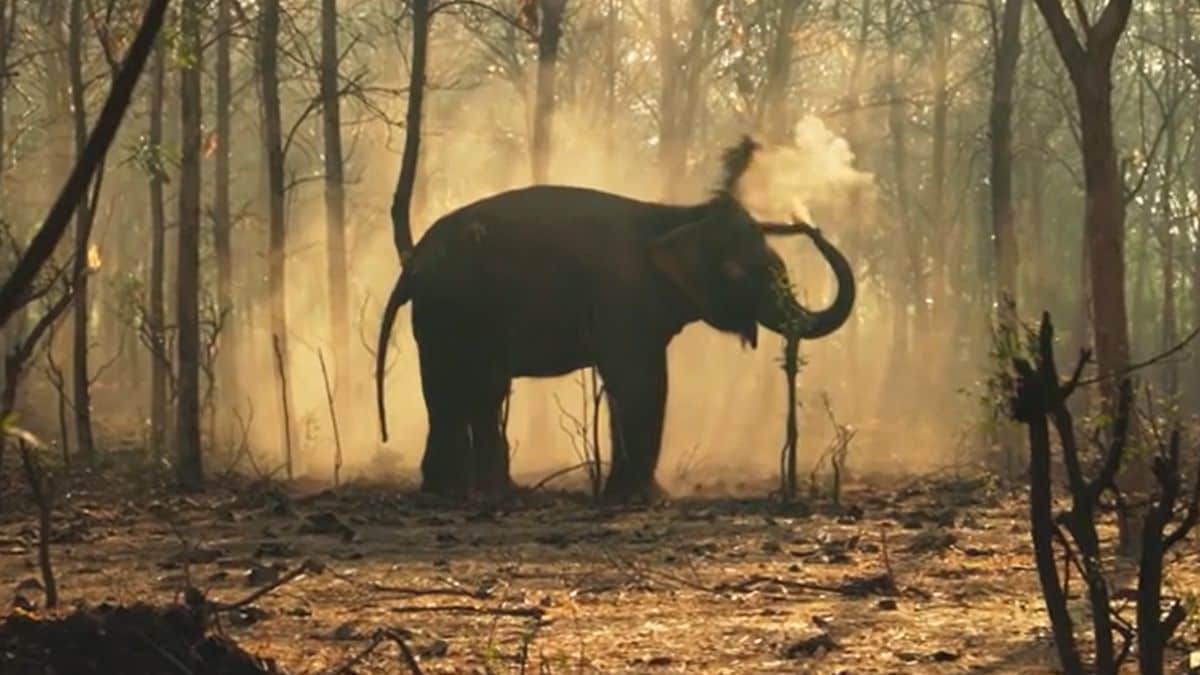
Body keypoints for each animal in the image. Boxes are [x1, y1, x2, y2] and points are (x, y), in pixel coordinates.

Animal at [375, 137, 856, 501]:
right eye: (749, 272)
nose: (806, 224)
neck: (677, 215)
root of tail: (413, 263)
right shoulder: (624, 301)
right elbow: (642, 381)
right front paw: (642, 497)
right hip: (456, 310)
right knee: (472, 388)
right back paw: (481, 492)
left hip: (442, 317)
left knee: (453, 391)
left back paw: (454, 491)